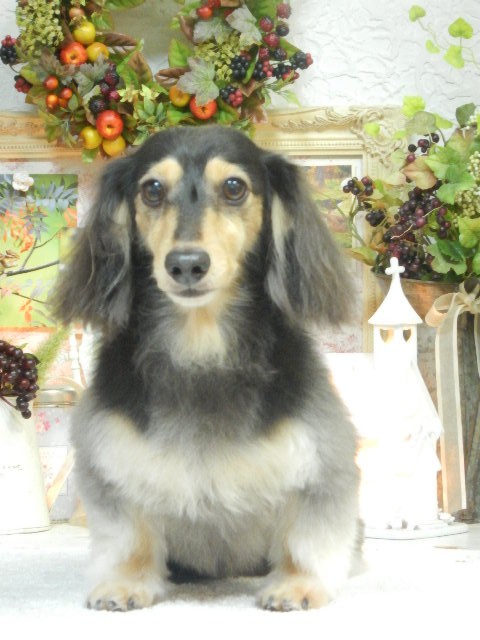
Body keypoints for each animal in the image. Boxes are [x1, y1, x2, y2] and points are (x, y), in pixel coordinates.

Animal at [53, 125, 361, 612]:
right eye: (152, 190)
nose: (186, 264)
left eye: (234, 187)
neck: (201, 349)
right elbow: (129, 535)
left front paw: (297, 584)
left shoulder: (321, 457)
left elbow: (306, 535)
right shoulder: (111, 455)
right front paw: (126, 581)